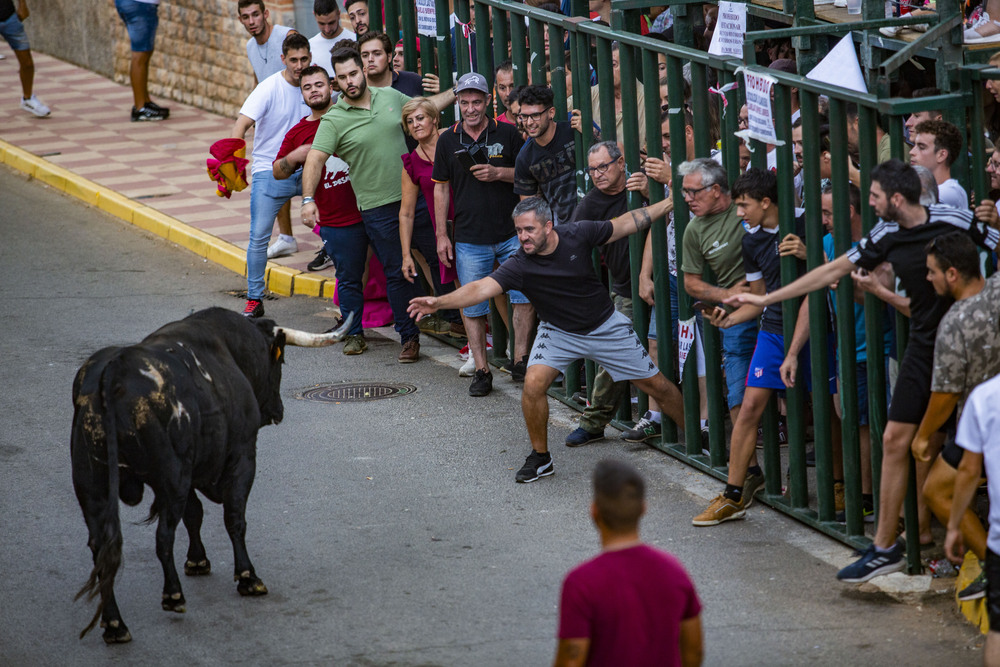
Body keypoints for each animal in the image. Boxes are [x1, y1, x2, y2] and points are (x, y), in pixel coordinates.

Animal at [71, 306, 352, 640]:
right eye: (280, 360)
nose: (278, 411)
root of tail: (114, 370)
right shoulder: (242, 457)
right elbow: (234, 518)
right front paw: (247, 576)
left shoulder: (193, 471)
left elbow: (195, 514)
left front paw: (197, 560)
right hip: (171, 479)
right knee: (163, 536)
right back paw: (173, 596)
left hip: (92, 486)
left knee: (102, 548)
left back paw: (115, 624)